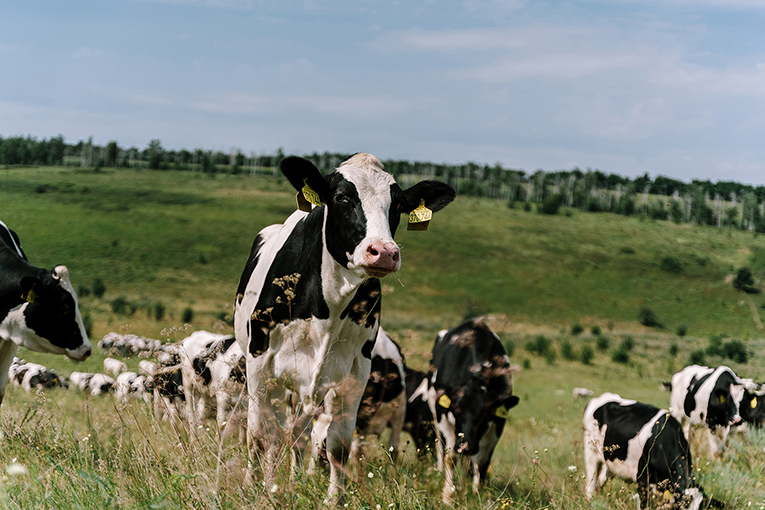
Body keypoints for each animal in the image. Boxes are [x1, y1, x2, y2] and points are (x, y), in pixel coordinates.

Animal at [233, 152, 454, 498]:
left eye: (398, 205)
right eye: (341, 197)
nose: (384, 252)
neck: (328, 307)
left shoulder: (354, 374)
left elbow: (338, 445)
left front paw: (332, 498)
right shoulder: (259, 362)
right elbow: (257, 434)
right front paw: (254, 488)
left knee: (298, 431)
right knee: (275, 429)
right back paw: (271, 480)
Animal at [424, 316, 520, 504]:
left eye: (486, 415)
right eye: (457, 410)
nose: (466, 446)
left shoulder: (498, 422)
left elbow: (482, 461)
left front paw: (478, 493)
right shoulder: (444, 416)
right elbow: (450, 457)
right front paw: (448, 495)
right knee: (439, 444)